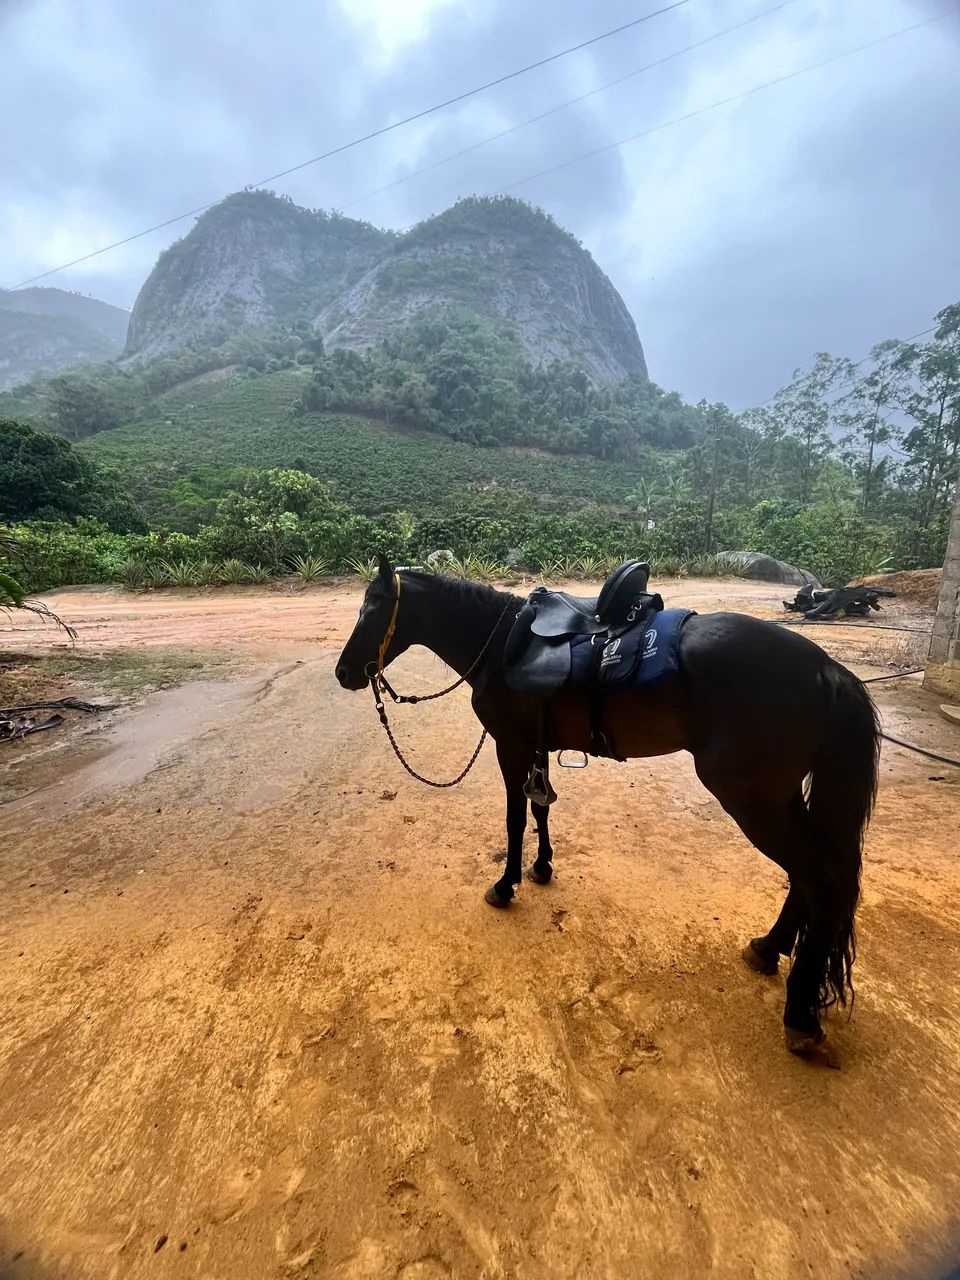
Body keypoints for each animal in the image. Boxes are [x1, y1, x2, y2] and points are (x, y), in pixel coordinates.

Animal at [336, 555, 881, 1053]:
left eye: (372, 609)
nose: (343, 673)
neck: (499, 645)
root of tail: (829, 670)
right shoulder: (537, 745)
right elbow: (540, 809)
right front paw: (542, 867)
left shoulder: (510, 745)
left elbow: (514, 819)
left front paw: (506, 884)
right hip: (779, 798)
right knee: (814, 874)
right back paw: (769, 950)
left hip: (751, 798)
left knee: (822, 879)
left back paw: (800, 1013)